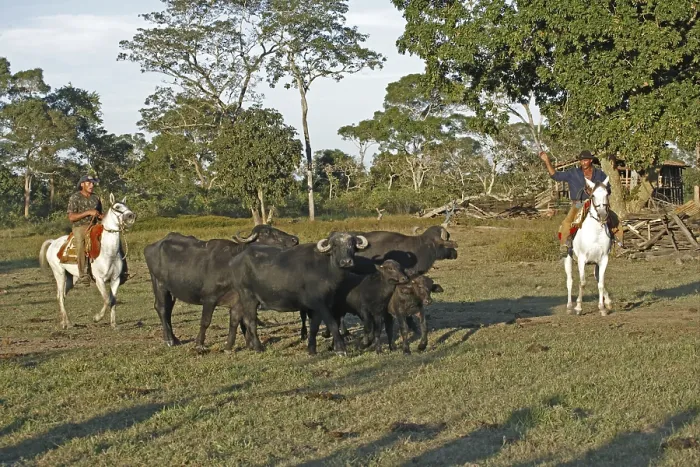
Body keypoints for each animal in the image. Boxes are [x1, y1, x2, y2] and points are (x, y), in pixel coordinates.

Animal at [39, 193, 136, 329]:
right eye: (117, 207)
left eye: (126, 205)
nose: (131, 216)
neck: (108, 251)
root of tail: (53, 242)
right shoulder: (99, 279)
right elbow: (107, 299)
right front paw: (97, 318)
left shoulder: (115, 279)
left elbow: (113, 300)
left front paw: (114, 324)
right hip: (59, 274)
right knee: (61, 297)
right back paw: (67, 323)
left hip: (71, 278)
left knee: (61, 295)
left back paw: (65, 321)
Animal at [565, 177, 613, 316]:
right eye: (593, 195)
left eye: (607, 194)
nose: (602, 214)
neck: (595, 232)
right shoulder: (581, 260)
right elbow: (582, 283)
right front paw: (578, 307)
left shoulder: (603, 259)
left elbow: (601, 283)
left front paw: (602, 308)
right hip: (568, 259)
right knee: (569, 281)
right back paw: (569, 306)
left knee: (597, 278)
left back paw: (608, 302)